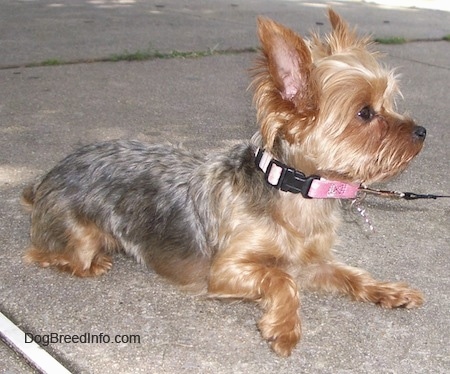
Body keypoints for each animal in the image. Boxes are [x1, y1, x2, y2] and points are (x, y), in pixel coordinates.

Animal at [23, 9, 426, 356]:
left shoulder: (313, 263)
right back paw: (91, 261)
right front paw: (285, 327)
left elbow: (351, 274)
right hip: (78, 240)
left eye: (388, 102)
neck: (293, 189)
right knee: (46, 255)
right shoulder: (227, 270)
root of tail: (50, 175)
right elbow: (282, 279)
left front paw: (387, 291)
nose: (422, 131)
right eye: (365, 113)